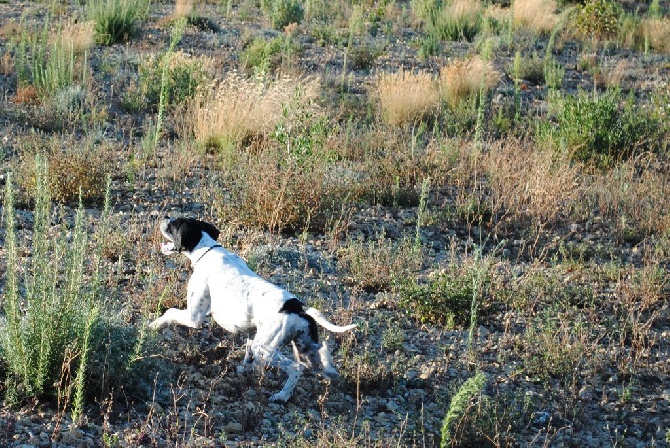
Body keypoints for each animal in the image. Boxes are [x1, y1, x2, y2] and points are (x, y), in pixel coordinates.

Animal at [150, 217, 360, 402]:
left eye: (174, 224)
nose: (164, 217)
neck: (208, 252)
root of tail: (298, 308)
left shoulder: (193, 317)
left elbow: (169, 313)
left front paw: (153, 325)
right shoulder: (252, 332)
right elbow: (247, 356)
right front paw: (244, 369)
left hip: (266, 350)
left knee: (296, 368)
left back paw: (281, 397)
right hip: (305, 348)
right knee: (323, 359)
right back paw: (330, 377)